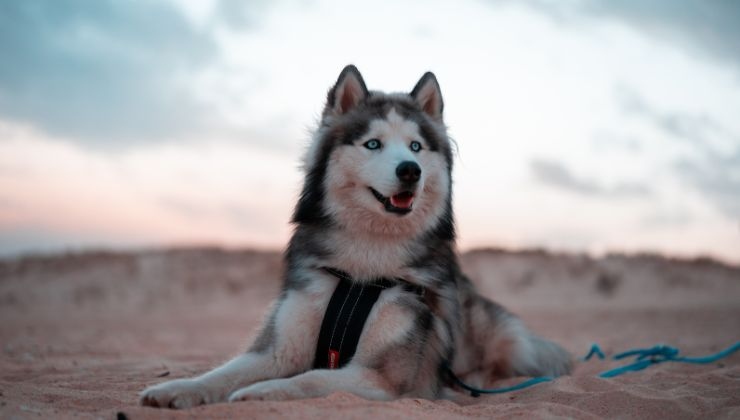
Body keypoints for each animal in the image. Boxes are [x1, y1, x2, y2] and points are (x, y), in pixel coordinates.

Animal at [140, 65, 572, 410]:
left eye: (416, 146)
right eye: (373, 144)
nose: (410, 170)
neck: (364, 265)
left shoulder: (384, 378)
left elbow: (309, 378)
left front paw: (258, 392)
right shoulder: (280, 347)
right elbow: (222, 372)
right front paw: (178, 388)